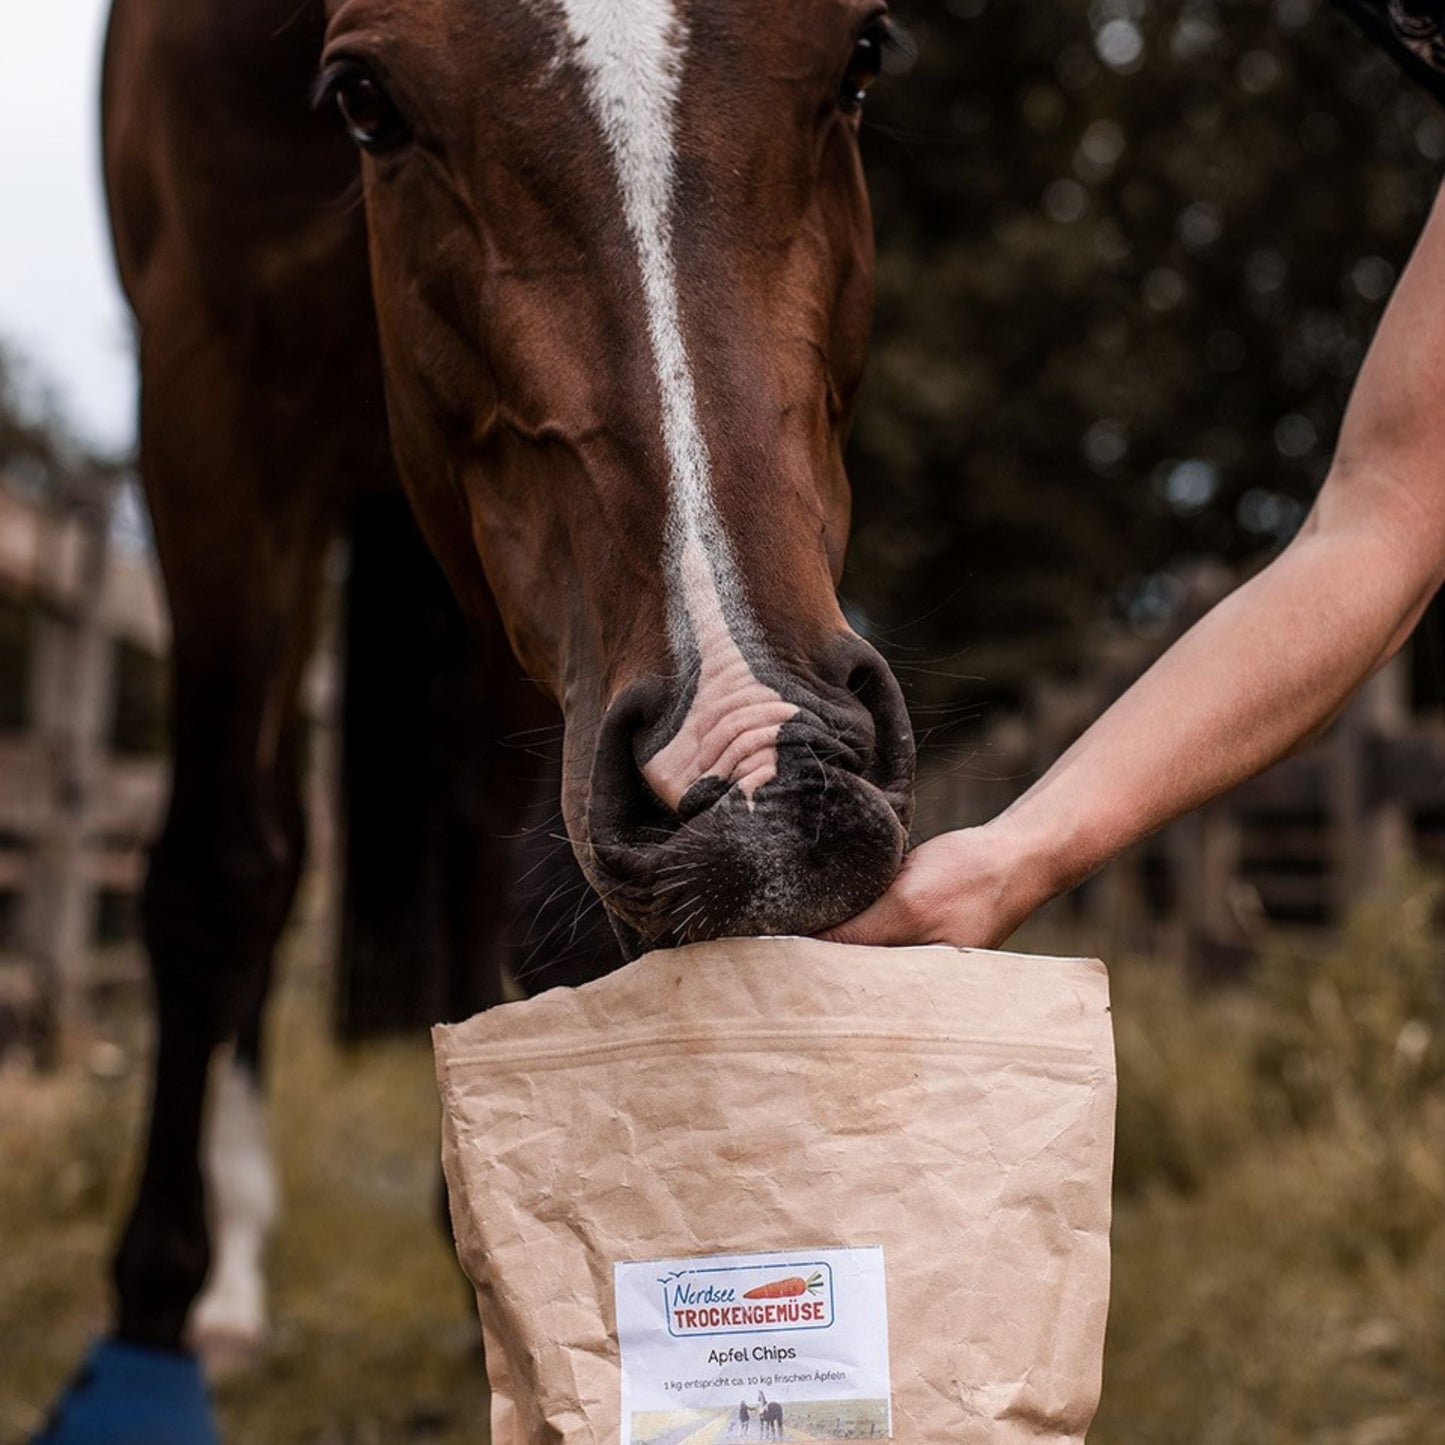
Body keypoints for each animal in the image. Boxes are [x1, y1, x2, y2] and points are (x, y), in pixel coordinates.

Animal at [38, 0, 916, 1437]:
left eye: (861, 54)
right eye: (365, 99)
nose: (765, 767)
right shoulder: (212, 386)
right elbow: (218, 872)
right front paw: (144, 1337)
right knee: (275, 858)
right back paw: (227, 1287)